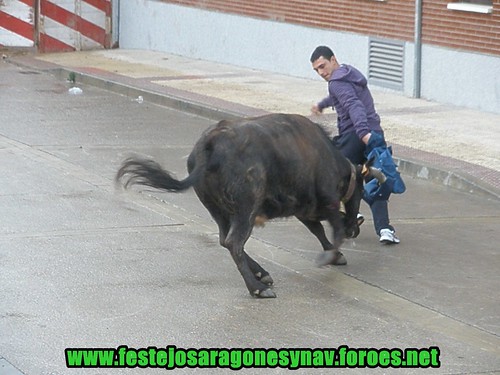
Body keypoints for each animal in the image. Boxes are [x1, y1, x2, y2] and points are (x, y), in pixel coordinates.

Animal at [117, 113, 382, 298]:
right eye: (360, 190)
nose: (355, 229)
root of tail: (210, 142)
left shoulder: (304, 208)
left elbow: (317, 228)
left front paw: (333, 254)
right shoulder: (326, 200)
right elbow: (333, 227)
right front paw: (332, 255)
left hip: (219, 210)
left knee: (225, 240)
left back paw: (262, 275)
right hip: (246, 208)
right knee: (234, 242)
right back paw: (258, 288)